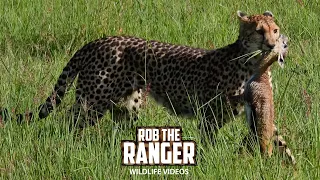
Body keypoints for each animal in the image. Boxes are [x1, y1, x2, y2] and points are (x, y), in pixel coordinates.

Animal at [1, 10, 282, 142]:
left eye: (276, 30)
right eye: (259, 31)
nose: (272, 45)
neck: (250, 61)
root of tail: (97, 41)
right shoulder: (208, 114)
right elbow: (208, 142)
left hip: (127, 106)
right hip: (92, 102)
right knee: (67, 124)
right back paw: (65, 146)